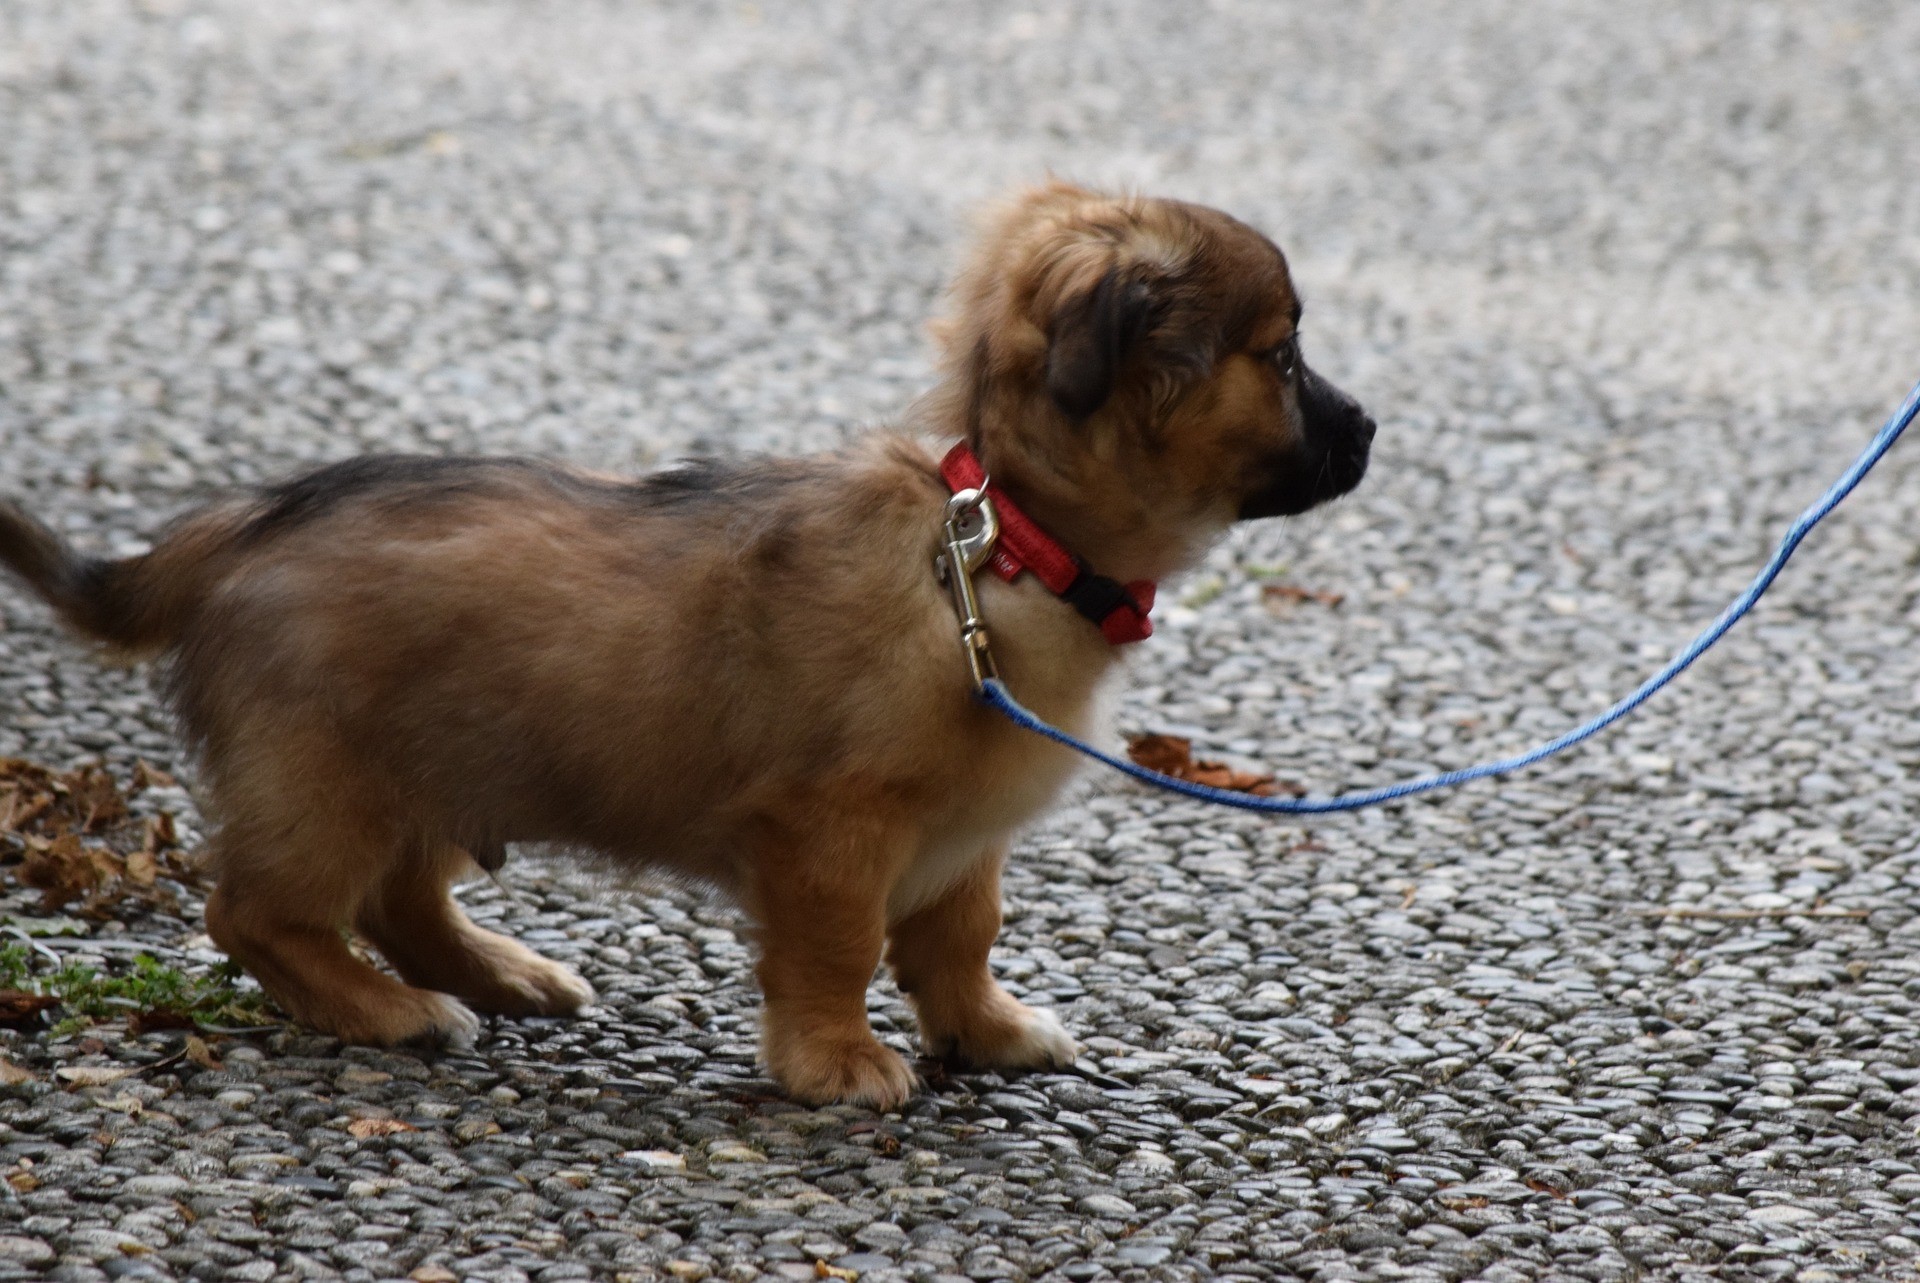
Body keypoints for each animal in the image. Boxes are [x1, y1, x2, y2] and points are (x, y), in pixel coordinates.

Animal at [0, 185, 1382, 1106]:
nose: (1371, 427)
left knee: (401, 897)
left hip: (443, 762)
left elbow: (958, 937)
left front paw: (985, 1031)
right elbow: (841, 944)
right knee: (256, 913)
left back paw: (501, 972)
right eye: (1283, 354)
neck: (1007, 544)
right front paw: (835, 1058)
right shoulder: (832, 832)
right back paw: (391, 1009)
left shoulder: (961, 839)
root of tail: (232, 527)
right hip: (328, 782)